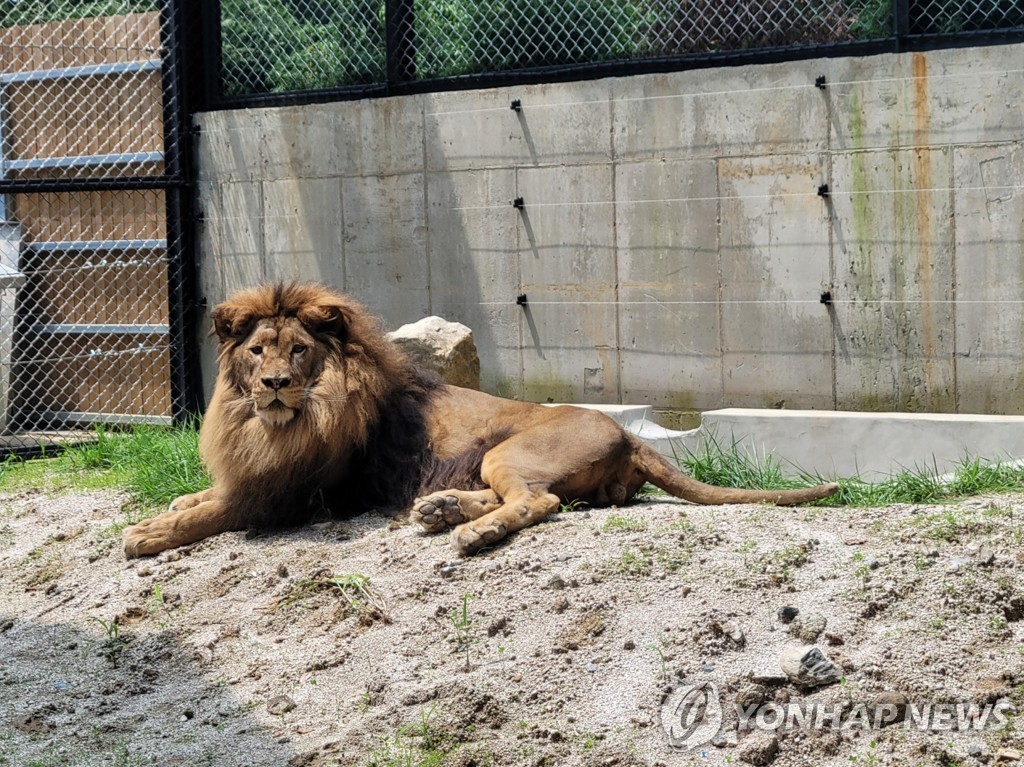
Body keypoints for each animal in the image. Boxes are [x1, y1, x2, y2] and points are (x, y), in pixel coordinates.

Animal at [121, 280, 839, 557]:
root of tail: (630, 433)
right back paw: (440, 509)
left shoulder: (287, 496)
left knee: (539, 502)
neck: (272, 425)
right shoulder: (254, 472)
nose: (272, 384)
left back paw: (471, 532)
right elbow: (201, 497)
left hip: (506, 451)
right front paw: (170, 506)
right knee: (533, 497)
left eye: (299, 350)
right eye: (256, 351)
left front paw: (147, 533)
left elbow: (211, 514)